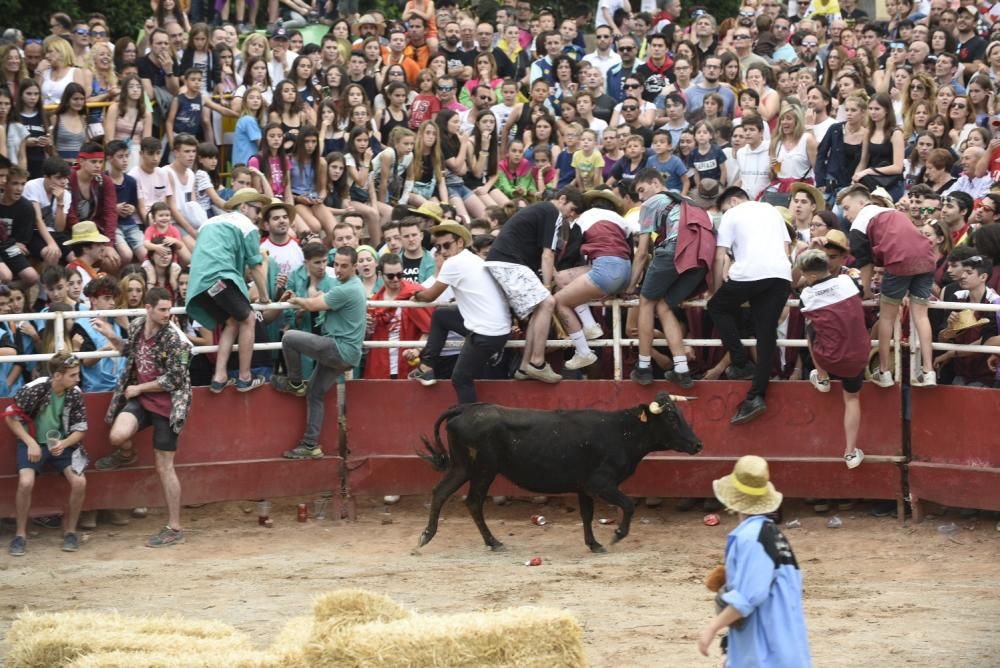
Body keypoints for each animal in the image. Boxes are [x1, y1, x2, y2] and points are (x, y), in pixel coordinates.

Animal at [416, 392, 704, 552]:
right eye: (671, 418)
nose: (698, 444)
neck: (623, 431)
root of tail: (464, 408)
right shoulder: (600, 483)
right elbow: (628, 505)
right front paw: (616, 536)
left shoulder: (583, 487)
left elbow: (587, 515)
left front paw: (594, 544)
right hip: (483, 470)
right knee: (473, 501)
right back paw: (493, 542)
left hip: (463, 467)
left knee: (441, 493)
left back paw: (428, 536)